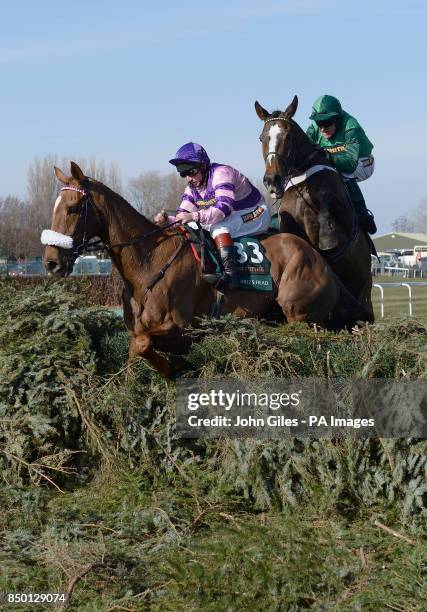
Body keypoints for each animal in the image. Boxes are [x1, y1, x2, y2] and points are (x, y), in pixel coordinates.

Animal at [41, 163, 372, 376]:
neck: (149, 260)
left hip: (300, 315)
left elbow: (143, 344)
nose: (51, 262)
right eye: (54, 207)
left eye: (72, 208)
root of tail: (320, 260)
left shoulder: (184, 327)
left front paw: (172, 369)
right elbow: (134, 355)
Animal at [254, 95, 374, 320]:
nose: (272, 180)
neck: (303, 177)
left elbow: (327, 200)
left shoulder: (341, 208)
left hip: (363, 287)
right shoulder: (289, 219)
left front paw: (327, 237)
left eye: (288, 136)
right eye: (262, 137)